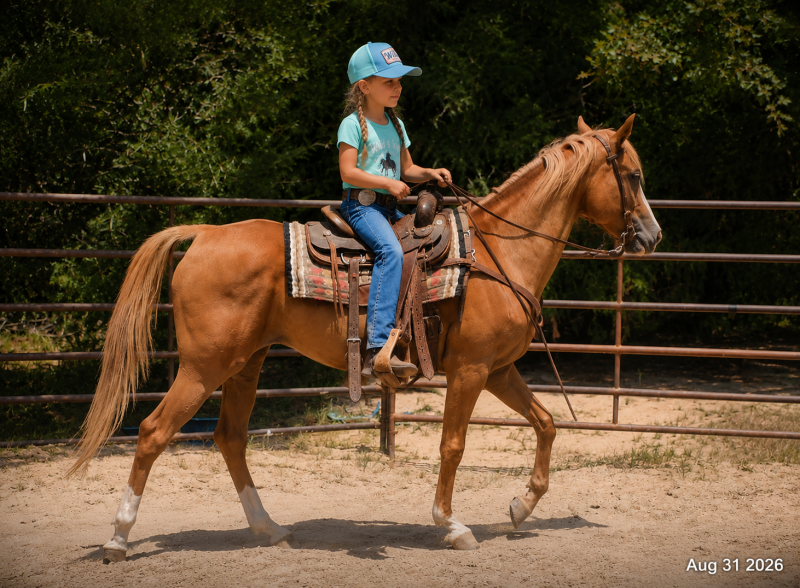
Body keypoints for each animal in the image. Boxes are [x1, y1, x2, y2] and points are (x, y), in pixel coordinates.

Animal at [68, 114, 661, 559]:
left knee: (229, 438)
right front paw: (451, 525)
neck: (495, 253)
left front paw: (521, 507)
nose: (652, 235)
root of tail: (204, 235)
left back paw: (269, 528)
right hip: (202, 368)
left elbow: (546, 423)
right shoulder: (470, 371)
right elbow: (453, 445)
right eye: (632, 175)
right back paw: (118, 539)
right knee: (152, 432)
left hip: (246, 364)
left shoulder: (497, 369)